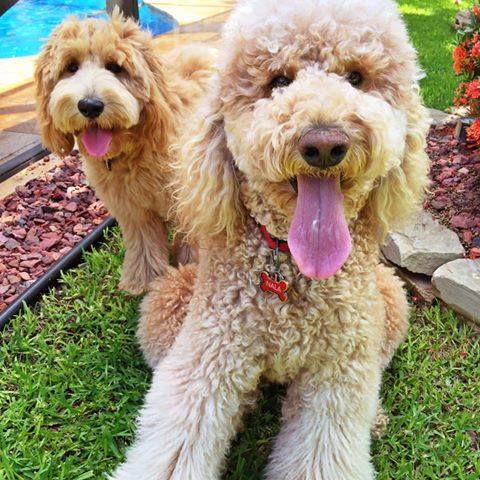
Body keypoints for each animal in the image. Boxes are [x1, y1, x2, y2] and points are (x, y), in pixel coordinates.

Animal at [37, 11, 216, 294]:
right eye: (71, 66)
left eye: (115, 67)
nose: (90, 105)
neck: (135, 146)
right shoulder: (131, 208)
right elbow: (143, 241)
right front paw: (142, 280)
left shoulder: (187, 200)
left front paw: (192, 269)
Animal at [114, 0, 430, 478]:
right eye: (279, 80)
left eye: (356, 77)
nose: (324, 143)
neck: (290, 265)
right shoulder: (210, 353)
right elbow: (179, 440)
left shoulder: (337, 371)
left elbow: (322, 450)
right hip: (170, 299)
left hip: (389, 300)